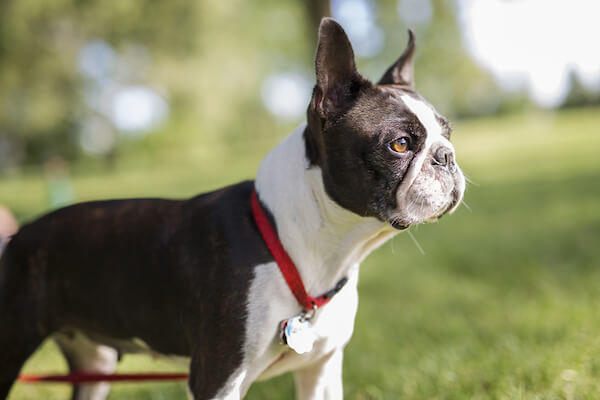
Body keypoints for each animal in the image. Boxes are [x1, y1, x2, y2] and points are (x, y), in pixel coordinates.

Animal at [0, 17, 464, 398]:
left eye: (448, 132)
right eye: (399, 144)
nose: (447, 156)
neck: (304, 247)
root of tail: (17, 237)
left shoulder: (321, 369)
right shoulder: (217, 378)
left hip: (95, 366)